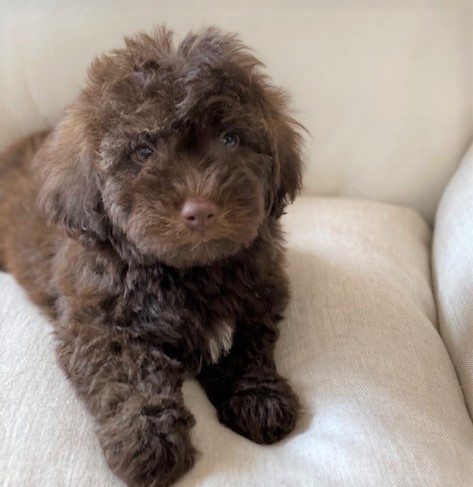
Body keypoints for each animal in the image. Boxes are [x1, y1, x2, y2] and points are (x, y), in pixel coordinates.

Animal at [0, 27, 303, 487]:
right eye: (144, 151)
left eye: (230, 139)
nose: (200, 209)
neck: (187, 272)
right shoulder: (97, 323)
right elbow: (130, 377)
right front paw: (148, 441)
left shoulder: (259, 295)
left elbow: (249, 347)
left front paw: (260, 398)